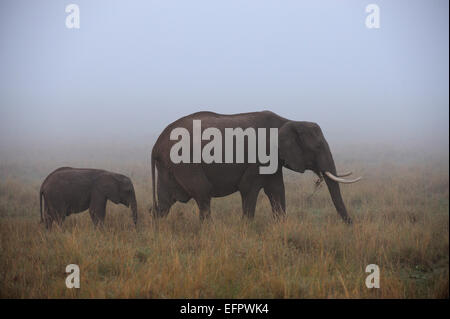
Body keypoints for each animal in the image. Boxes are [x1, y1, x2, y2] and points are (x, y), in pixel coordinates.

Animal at [151, 112, 362, 225]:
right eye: (317, 147)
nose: (351, 226)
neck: (288, 121)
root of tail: (156, 143)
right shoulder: (260, 157)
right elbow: (249, 188)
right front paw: (247, 228)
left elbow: (277, 190)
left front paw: (281, 226)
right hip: (184, 162)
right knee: (203, 193)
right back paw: (209, 229)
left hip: (168, 166)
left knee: (164, 202)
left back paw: (158, 230)